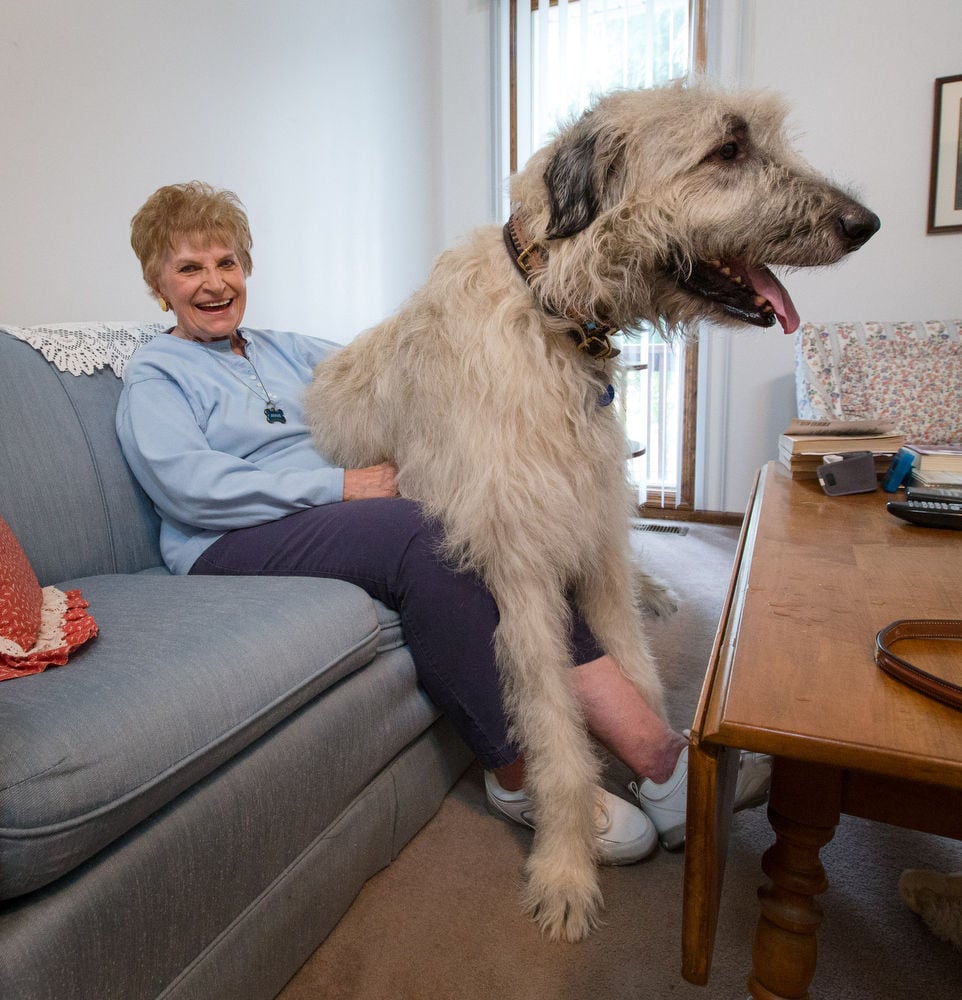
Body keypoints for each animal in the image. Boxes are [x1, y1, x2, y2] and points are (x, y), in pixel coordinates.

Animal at [306, 82, 876, 940]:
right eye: (728, 149)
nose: (864, 223)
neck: (549, 312)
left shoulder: (599, 537)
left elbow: (636, 675)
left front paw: (671, 782)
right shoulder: (521, 571)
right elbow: (557, 736)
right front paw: (566, 871)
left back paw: (660, 594)